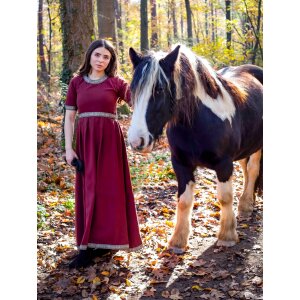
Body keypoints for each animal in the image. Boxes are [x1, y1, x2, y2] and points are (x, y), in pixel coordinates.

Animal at [126, 44, 262, 253]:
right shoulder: (180, 164)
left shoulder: (224, 164)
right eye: (133, 89)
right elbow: (183, 201)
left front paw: (227, 236)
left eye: (159, 89)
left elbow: (224, 197)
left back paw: (246, 205)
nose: (136, 141)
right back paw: (246, 205)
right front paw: (177, 241)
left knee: (253, 170)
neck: (200, 122)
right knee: (247, 171)